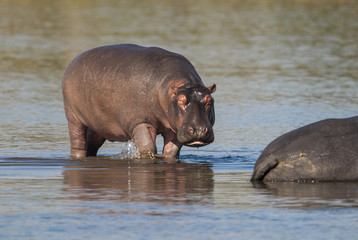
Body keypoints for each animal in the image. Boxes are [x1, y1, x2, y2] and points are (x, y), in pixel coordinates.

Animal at [61, 44, 215, 160]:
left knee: (91, 144)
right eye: (181, 100)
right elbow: (148, 147)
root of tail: (73, 61)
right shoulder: (140, 121)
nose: (199, 129)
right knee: (78, 143)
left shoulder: (175, 127)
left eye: (209, 101)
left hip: (98, 124)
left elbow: (171, 151)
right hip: (73, 118)